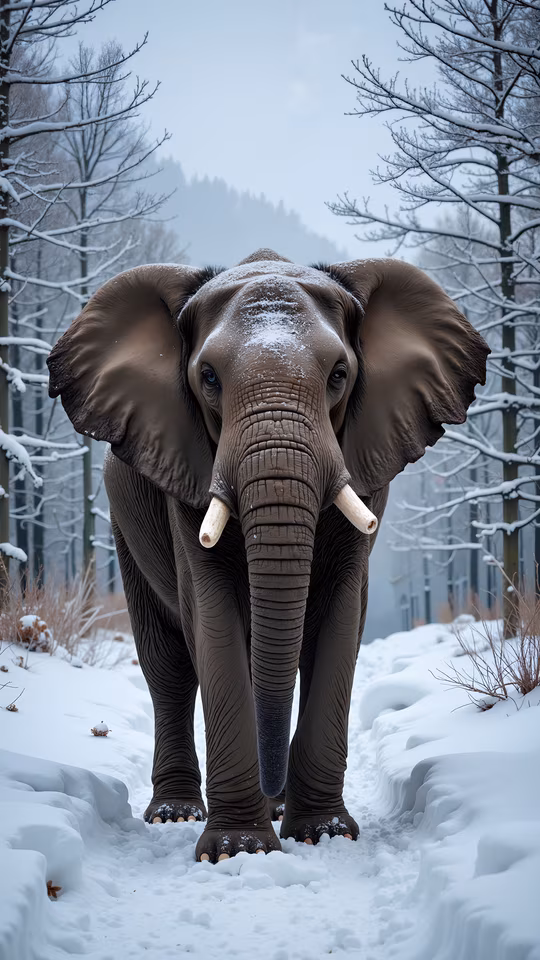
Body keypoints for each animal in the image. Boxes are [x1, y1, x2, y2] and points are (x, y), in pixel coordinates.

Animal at [47, 248, 489, 863]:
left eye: (339, 375)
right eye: (208, 378)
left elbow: (338, 619)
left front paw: (324, 834)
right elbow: (210, 617)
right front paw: (238, 850)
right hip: (122, 522)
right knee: (168, 666)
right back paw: (176, 814)